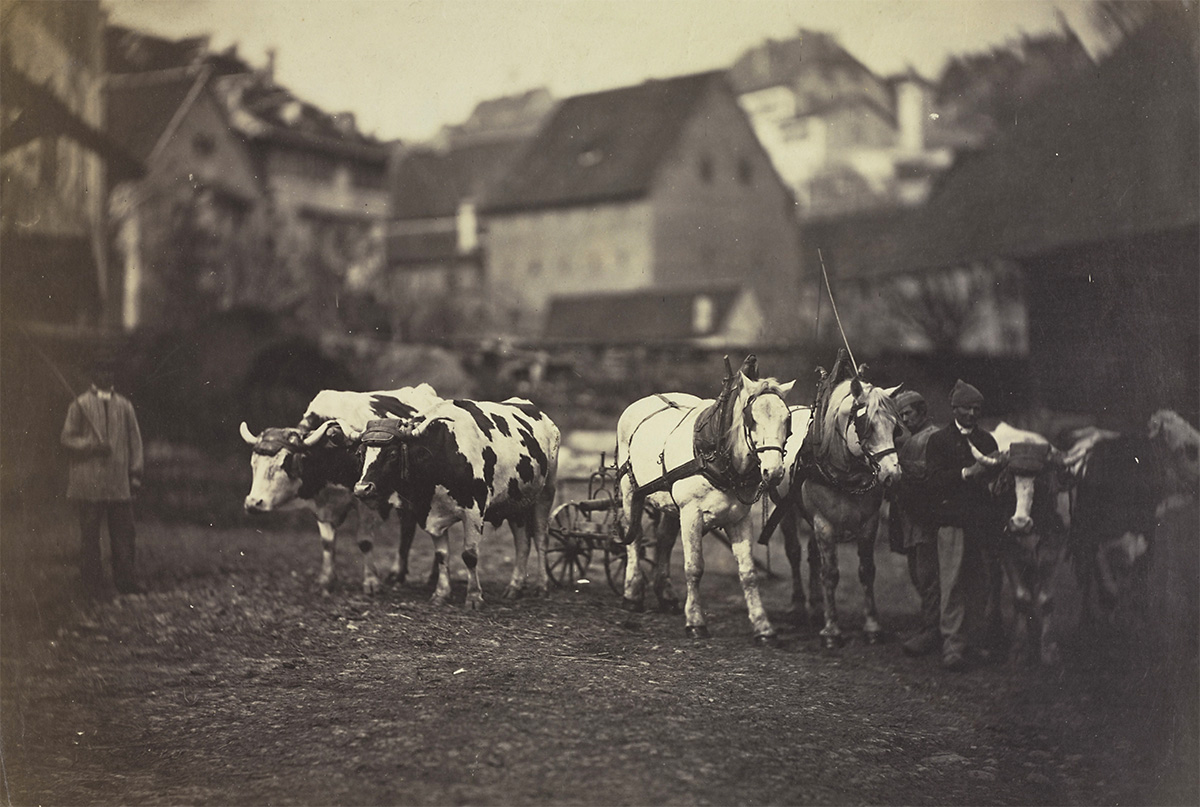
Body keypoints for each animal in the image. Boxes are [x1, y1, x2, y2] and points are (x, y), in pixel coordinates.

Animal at [238, 381, 441, 595]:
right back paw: (397, 574)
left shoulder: (366, 500)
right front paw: (325, 580)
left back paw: (432, 578)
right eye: (253, 464)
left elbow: (365, 541)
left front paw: (371, 581)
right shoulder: (321, 504)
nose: (253, 503)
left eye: (285, 463)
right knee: (408, 527)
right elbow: (327, 543)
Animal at [350, 393, 561, 607]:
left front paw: (474, 596)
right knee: (522, 542)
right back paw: (514, 587)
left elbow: (470, 555)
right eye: (360, 453)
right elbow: (442, 555)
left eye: (392, 454)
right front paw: (441, 593)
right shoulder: (429, 513)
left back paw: (542, 586)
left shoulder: (474, 510)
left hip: (546, 492)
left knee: (540, 538)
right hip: (515, 501)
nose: (362, 488)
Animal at [619, 355, 796, 648]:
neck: (718, 454)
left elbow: (748, 573)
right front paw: (695, 622)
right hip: (629, 492)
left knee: (664, 540)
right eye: (752, 418)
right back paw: (632, 593)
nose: (774, 472)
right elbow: (694, 567)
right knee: (633, 537)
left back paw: (665, 594)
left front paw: (763, 627)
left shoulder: (740, 519)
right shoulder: (691, 514)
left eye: (787, 419)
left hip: (670, 505)